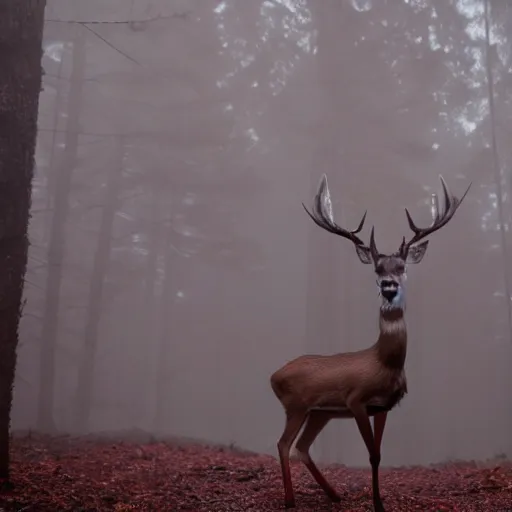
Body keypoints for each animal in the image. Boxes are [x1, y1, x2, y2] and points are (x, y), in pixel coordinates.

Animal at [270, 174, 470, 510]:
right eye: (378, 268)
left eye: (401, 267)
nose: (389, 286)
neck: (384, 363)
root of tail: (273, 376)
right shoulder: (356, 400)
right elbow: (371, 454)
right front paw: (377, 504)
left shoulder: (383, 406)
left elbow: (379, 455)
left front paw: (378, 502)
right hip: (296, 405)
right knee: (284, 443)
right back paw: (289, 500)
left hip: (320, 412)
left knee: (302, 447)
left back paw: (334, 495)